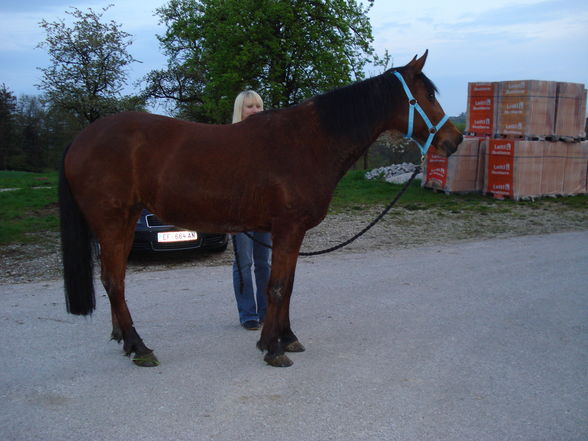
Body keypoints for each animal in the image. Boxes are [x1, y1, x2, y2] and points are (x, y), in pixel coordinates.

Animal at [60, 50, 464, 368]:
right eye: (428, 95)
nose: (455, 140)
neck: (310, 142)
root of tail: (81, 139)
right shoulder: (288, 227)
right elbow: (277, 286)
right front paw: (272, 348)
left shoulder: (291, 233)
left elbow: (287, 285)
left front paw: (286, 337)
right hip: (113, 222)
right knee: (113, 281)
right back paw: (139, 347)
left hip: (125, 221)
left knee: (115, 280)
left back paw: (124, 341)